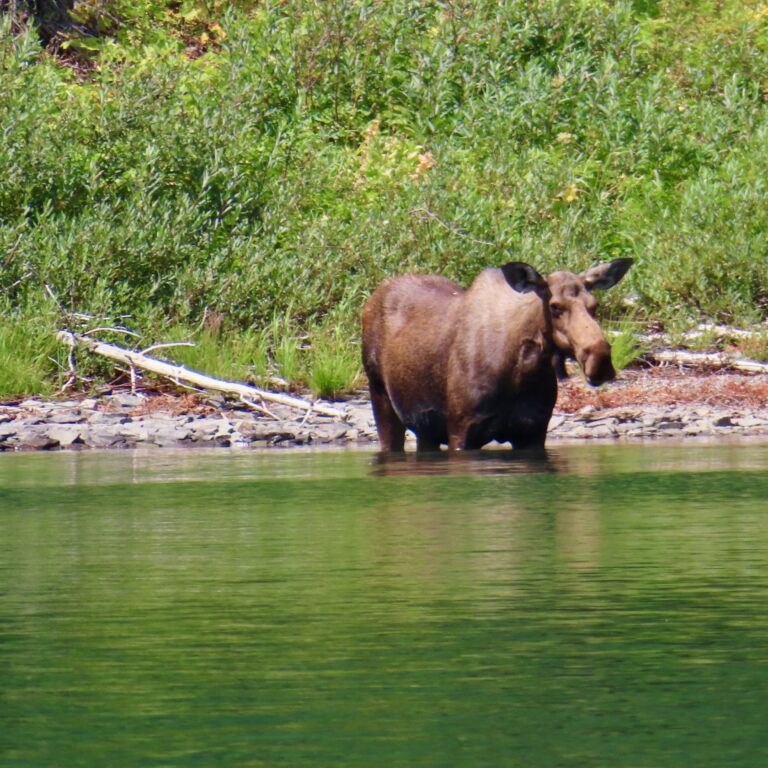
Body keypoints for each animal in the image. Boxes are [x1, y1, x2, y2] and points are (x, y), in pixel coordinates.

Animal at [364, 260, 632, 450]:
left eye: (594, 305)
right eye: (555, 306)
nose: (600, 361)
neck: (522, 370)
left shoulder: (533, 432)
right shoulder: (461, 430)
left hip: (425, 427)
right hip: (380, 396)